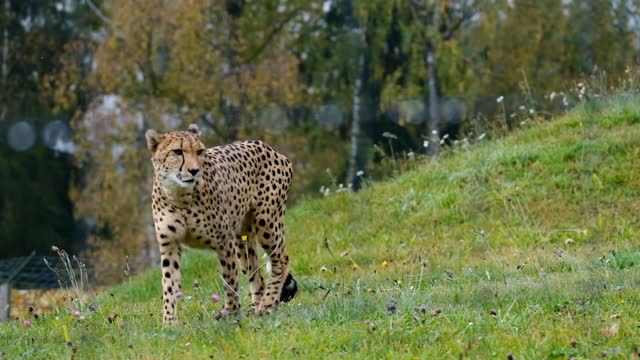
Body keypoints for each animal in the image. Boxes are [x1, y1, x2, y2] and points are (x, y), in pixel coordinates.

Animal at [145, 124, 298, 324]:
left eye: (199, 151)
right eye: (177, 151)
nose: (194, 171)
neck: (179, 196)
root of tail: (267, 146)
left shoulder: (223, 241)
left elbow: (229, 279)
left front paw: (231, 313)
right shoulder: (169, 244)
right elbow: (169, 284)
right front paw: (169, 322)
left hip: (266, 221)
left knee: (281, 260)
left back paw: (267, 304)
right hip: (242, 239)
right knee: (255, 272)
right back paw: (257, 306)